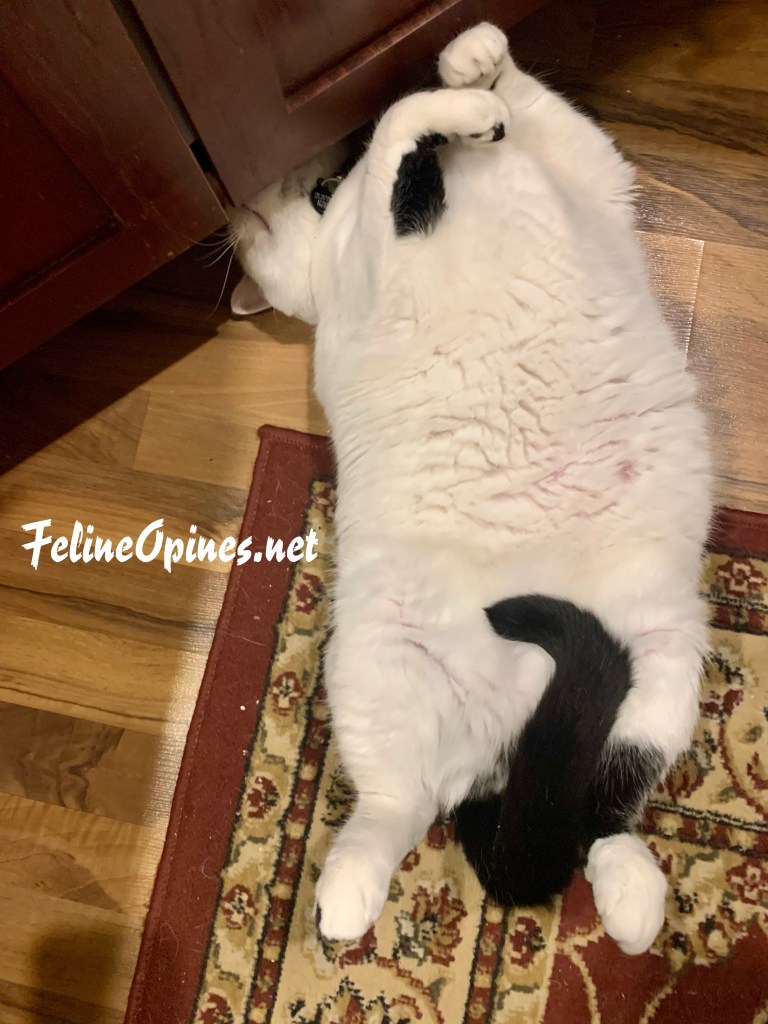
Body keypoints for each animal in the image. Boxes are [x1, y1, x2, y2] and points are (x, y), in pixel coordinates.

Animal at [229, 23, 712, 956]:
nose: (255, 192)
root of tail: (504, 741)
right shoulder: (372, 251)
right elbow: (399, 129)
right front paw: (449, 109)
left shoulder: (589, 172)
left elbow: (524, 106)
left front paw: (474, 62)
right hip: (372, 661)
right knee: (398, 806)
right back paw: (342, 899)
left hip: (661, 665)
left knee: (600, 811)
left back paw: (634, 904)